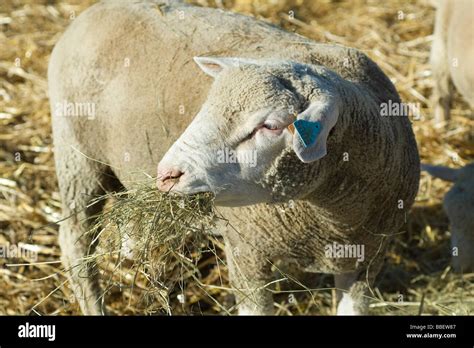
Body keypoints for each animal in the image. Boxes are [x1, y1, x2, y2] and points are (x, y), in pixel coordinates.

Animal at [48, 0, 418, 316]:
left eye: (271, 126)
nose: (167, 174)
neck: (332, 219)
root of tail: (93, 11)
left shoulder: (366, 262)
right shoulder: (246, 251)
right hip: (77, 157)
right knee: (75, 242)